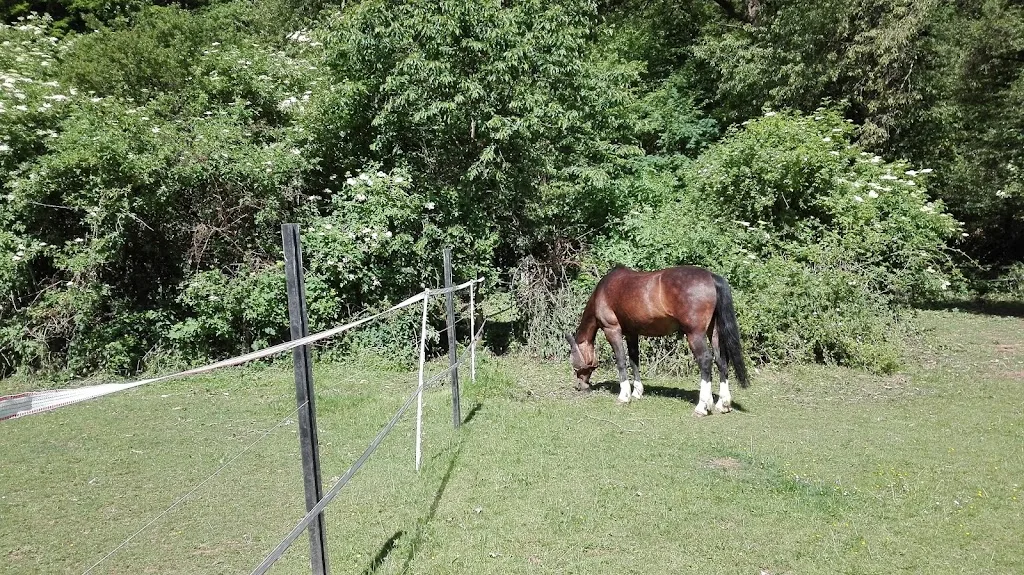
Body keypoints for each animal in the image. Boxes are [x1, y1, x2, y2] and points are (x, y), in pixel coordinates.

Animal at [564, 265, 749, 416]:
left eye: (575, 366)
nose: (580, 386)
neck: (603, 292)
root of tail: (711, 277)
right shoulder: (632, 333)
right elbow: (634, 361)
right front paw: (637, 392)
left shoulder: (612, 330)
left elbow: (621, 361)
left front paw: (624, 396)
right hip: (714, 332)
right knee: (721, 361)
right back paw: (723, 404)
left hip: (695, 333)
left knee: (705, 360)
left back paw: (702, 407)